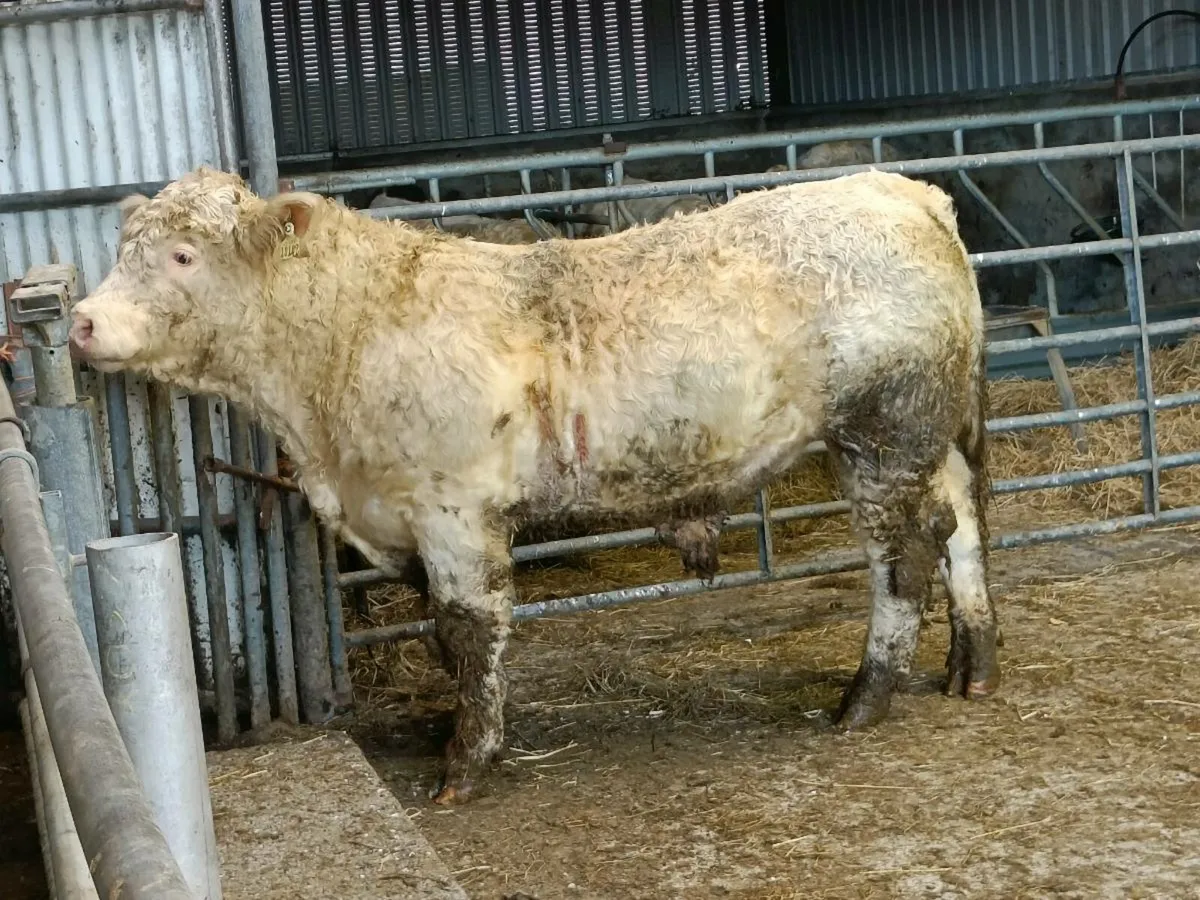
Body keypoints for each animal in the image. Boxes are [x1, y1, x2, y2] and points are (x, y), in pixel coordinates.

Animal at [69, 166, 999, 806]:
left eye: (183, 255)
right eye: (122, 252)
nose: (82, 321)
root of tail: (901, 191)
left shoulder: (452, 510)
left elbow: (466, 630)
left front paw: (466, 762)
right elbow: (447, 640)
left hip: (881, 435)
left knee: (902, 560)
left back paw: (865, 698)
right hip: (930, 442)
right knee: (959, 526)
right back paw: (973, 662)